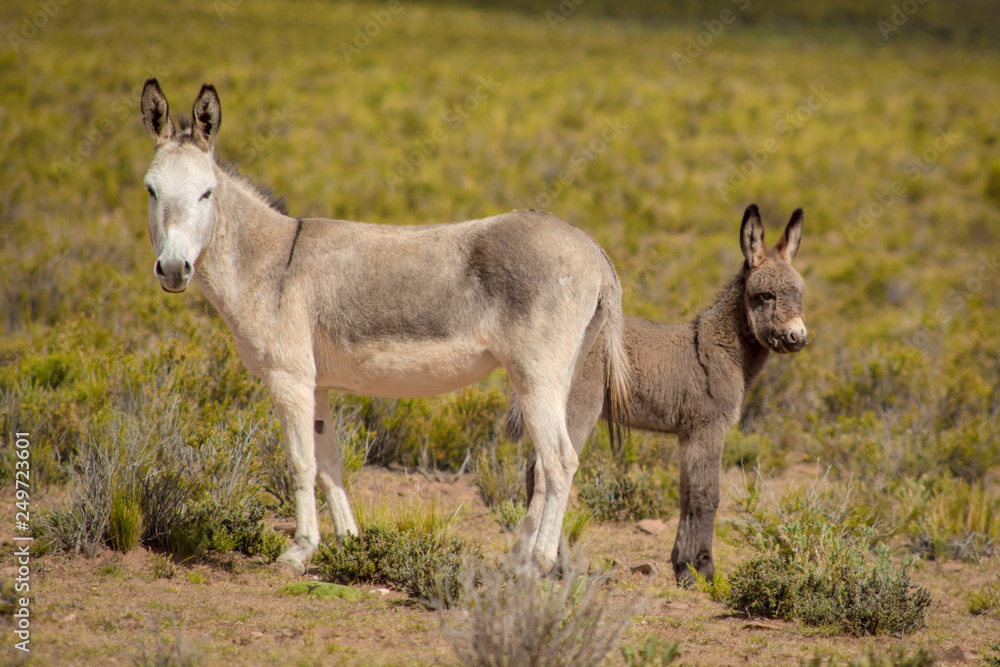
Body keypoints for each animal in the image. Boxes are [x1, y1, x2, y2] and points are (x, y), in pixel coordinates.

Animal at [508, 204, 812, 584]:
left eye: (800, 293)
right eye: (766, 295)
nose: (797, 338)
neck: (723, 348)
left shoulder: (687, 434)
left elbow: (685, 494)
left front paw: (682, 566)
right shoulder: (708, 427)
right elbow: (707, 495)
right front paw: (706, 567)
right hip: (579, 407)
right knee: (547, 470)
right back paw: (560, 565)